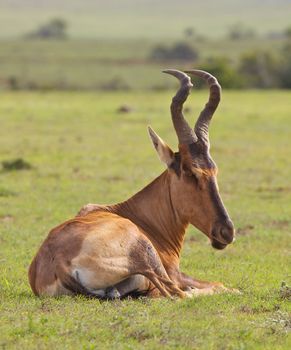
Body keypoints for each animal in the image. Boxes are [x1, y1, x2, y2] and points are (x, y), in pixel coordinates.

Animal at [28, 69, 236, 300]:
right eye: (191, 172)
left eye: (214, 169)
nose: (226, 232)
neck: (136, 214)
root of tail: (59, 264)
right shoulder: (175, 273)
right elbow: (221, 285)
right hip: (147, 256)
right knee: (176, 294)